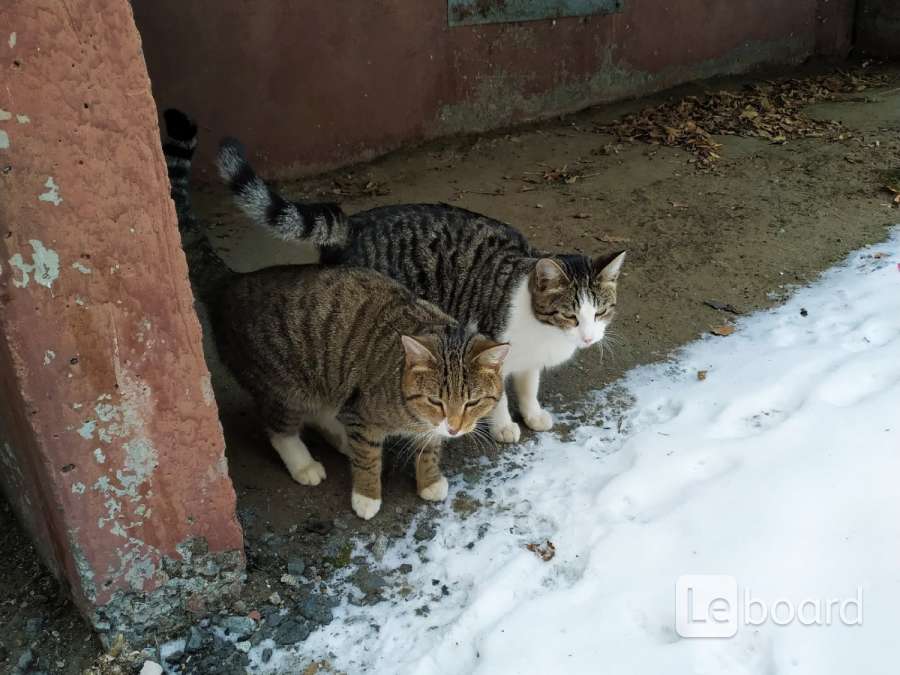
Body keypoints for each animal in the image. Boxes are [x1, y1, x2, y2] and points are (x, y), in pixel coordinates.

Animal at [215, 264, 510, 516]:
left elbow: (429, 450)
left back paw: (343, 439)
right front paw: (367, 496)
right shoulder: (362, 412)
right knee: (281, 430)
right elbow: (368, 459)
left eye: (473, 402)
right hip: (286, 387)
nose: (454, 428)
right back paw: (304, 464)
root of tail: (230, 282)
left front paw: (429, 480)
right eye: (435, 401)